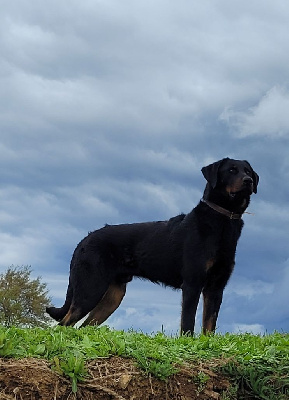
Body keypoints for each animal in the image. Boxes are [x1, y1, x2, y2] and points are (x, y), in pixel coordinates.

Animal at [46, 158, 258, 332]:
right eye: (231, 170)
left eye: (247, 170)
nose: (249, 181)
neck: (222, 220)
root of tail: (84, 240)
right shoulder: (192, 284)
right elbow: (188, 324)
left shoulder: (215, 288)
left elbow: (209, 326)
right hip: (90, 289)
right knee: (64, 323)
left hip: (113, 296)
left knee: (84, 326)